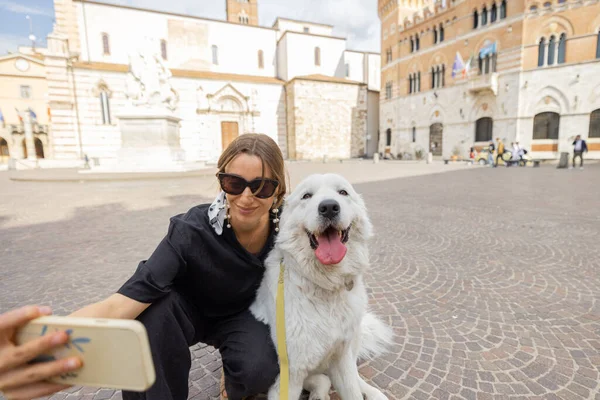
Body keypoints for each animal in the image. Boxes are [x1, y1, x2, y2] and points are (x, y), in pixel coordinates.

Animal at [250, 174, 394, 400]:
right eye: (307, 196)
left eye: (343, 192)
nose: (328, 207)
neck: (325, 286)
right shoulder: (290, 373)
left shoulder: (342, 357)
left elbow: (352, 389)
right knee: (321, 380)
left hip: (354, 337)